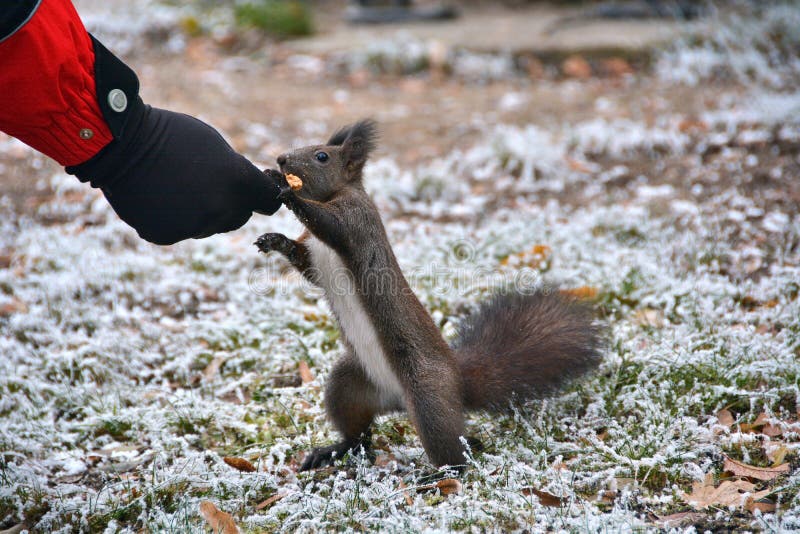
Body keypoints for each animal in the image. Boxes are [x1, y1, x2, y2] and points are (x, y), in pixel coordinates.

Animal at [255, 120, 603, 471]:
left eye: (322, 156)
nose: (281, 159)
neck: (334, 193)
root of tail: (457, 382)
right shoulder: (315, 255)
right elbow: (305, 264)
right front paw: (274, 239)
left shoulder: (356, 220)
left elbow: (329, 223)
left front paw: (285, 190)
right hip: (349, 385)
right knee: (358, 432)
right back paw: (334, 450)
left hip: (427, 396)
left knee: (451, 448)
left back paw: (444, 470)